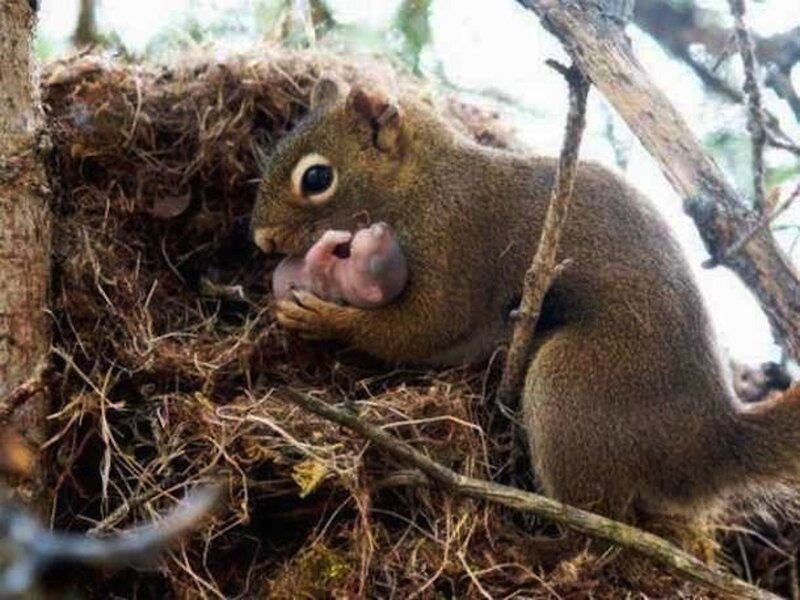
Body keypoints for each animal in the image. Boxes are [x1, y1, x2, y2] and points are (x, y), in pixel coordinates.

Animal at [251, 75, 800, 538]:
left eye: (317, 178)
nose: (262, 240)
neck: (422, 184)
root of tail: (710, 440)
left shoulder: (456, 239)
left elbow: (425, 326)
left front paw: (323, 318)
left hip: (574, 385)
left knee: (601, 524)